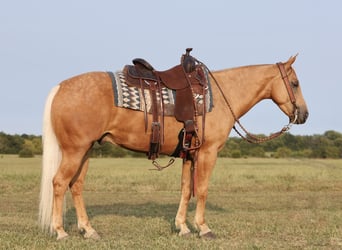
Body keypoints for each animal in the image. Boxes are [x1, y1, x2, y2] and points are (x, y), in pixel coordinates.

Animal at [38, 55, 308, 240]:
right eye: (294, 83)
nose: (304, 114)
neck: (221, 97)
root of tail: (61, 87)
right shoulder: (208, 152)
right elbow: (202, 189)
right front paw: (203, 228)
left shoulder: (190, 154)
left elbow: (186, 189)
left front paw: (183, 227)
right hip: (75, 151)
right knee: (59, 183)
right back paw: (60, 231)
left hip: (86, 150)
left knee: (76, 186)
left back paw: (89, 230)